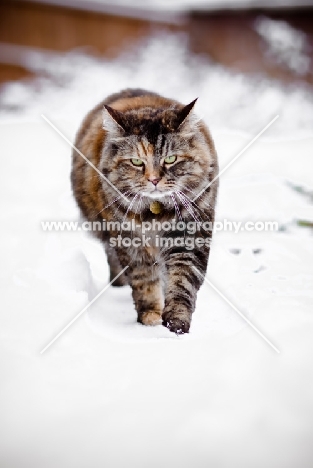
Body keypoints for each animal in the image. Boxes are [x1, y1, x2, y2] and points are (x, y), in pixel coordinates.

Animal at [70, 88, 217, 334]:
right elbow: (144, 281)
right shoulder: (130, 241)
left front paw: (177, 323)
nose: (154, 180)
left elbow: (182, 282)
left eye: (170, 159)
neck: (155, 214)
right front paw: (151, 317)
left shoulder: (188, 237)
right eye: (137, 162)